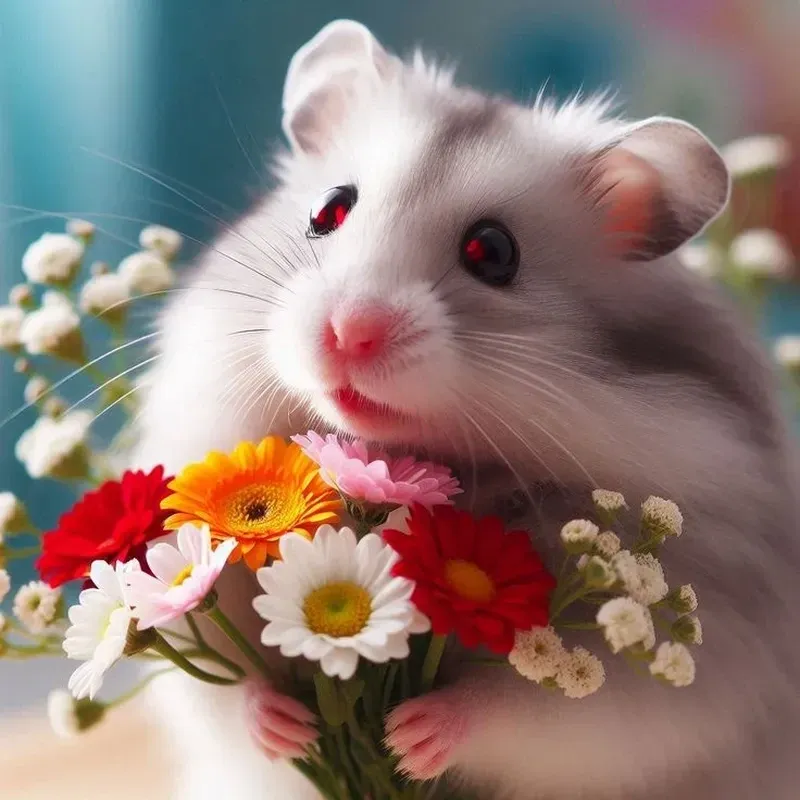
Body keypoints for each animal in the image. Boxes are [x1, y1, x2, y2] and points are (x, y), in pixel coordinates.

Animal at [131, 20, 800, 800]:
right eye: (328, 209)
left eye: (495, 251)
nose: (348, 332)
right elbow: (224, 682)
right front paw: (292, 727)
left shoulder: (665, 686)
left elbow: (525, 709)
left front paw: (403, 739)